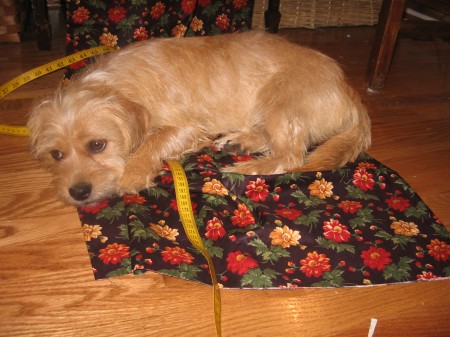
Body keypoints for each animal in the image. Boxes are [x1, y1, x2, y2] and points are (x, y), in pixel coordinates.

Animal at [29, 30, 372, 205]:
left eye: (98, 145)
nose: (78, 193)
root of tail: (350, 91)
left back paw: (246, 168)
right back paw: (240, 143)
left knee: (290, 155)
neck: (119, 85)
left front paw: (133, 172)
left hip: (279, 102)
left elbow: (152, 141)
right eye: (56, 154)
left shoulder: (187, 127)